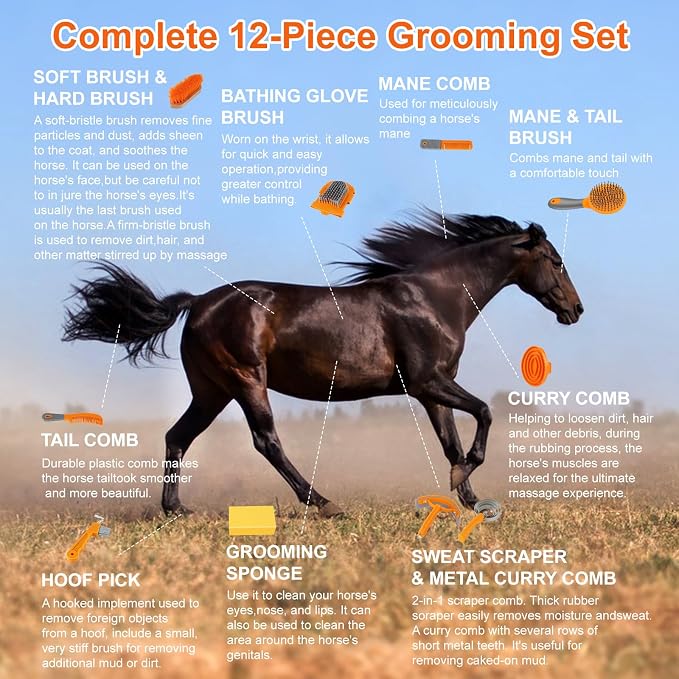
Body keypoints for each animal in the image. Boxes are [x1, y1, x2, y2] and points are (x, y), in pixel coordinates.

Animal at [62, 209, 583, 517]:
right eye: (555, 261)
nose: (576, 310)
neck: (435, 297)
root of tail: (199, 303)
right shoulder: (425, 382)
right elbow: (485, 414)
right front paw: (466, 485)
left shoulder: (434, 390)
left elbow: (452, 442)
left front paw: (472, 501)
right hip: (246, 381)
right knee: (266, 441)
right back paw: (325, 504)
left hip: (212, 391)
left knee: (178, 436)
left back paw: (177, 510)